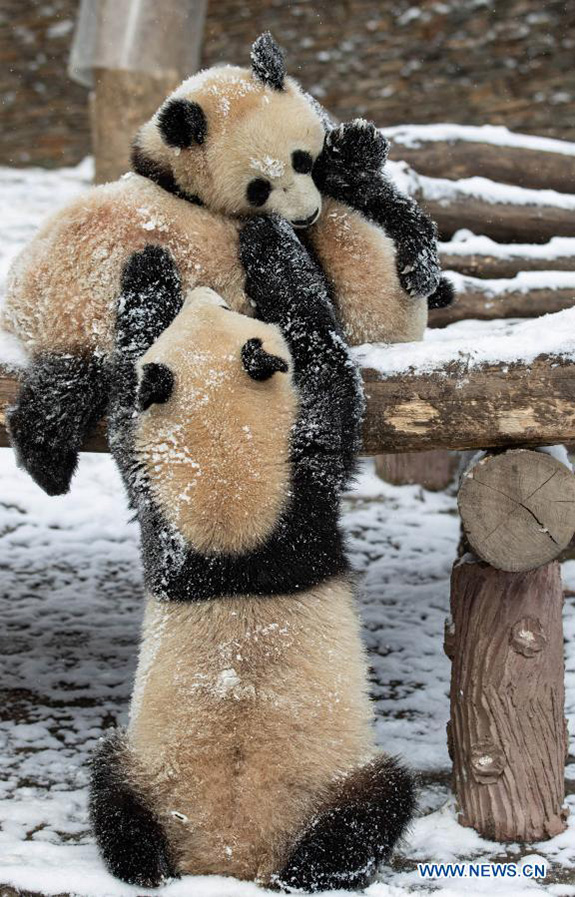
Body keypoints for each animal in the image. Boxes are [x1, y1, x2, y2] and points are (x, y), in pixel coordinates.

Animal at [2, 33, 450, 496]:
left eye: (302, 160)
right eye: (258, 188)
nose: (306, 215)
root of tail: (21, 305)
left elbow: (374, 196)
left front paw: (360, 153)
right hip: (86, 312)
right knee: (69, 382)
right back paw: (48, 462)